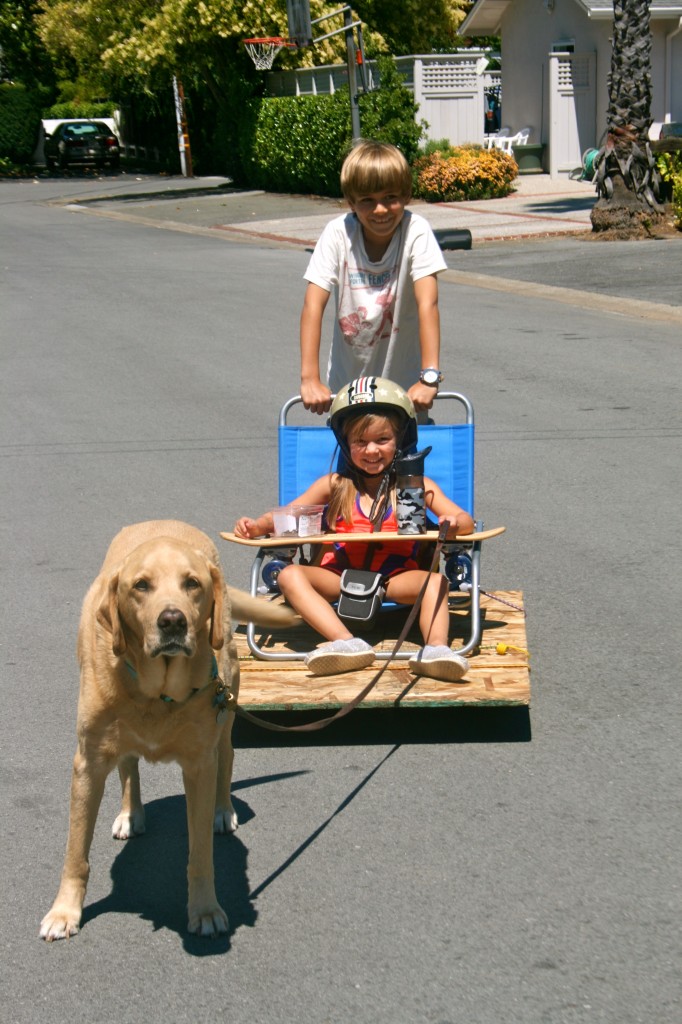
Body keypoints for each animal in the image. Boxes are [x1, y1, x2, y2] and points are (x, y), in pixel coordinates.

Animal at [39, 520, 294, 942]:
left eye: (192, 583)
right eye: (141, 585)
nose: (173, 620)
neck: (155, 692)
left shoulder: (199, 765)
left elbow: (200, 854)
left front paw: (205, 909)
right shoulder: (87, 765)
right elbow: (75, 853)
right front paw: (64, 911)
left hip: (225, 712)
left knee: (226, 757)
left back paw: (223, 811)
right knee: (128, 765)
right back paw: (131, 813)